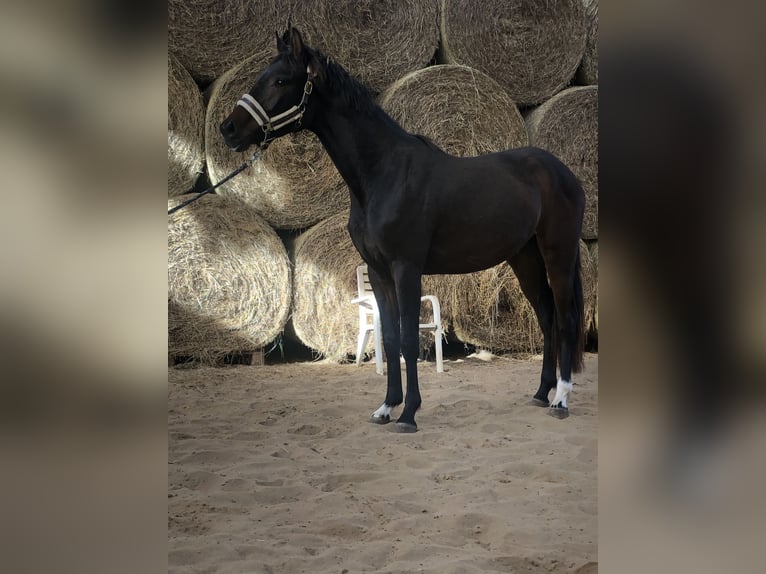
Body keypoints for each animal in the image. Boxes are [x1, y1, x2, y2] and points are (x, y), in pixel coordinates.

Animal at [222, 28, 588, 432]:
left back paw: (562, 399)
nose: (228, 129)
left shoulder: (406, 268)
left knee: (567, 319)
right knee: (547, 317)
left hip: (559, 253)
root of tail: (561, 172)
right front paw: (386, 408)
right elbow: (391, 339)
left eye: (280, 80)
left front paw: (409, 414)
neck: (384, 172)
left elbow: (410, 340)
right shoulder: (380, 272)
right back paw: (541, 393)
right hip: (524, 258)